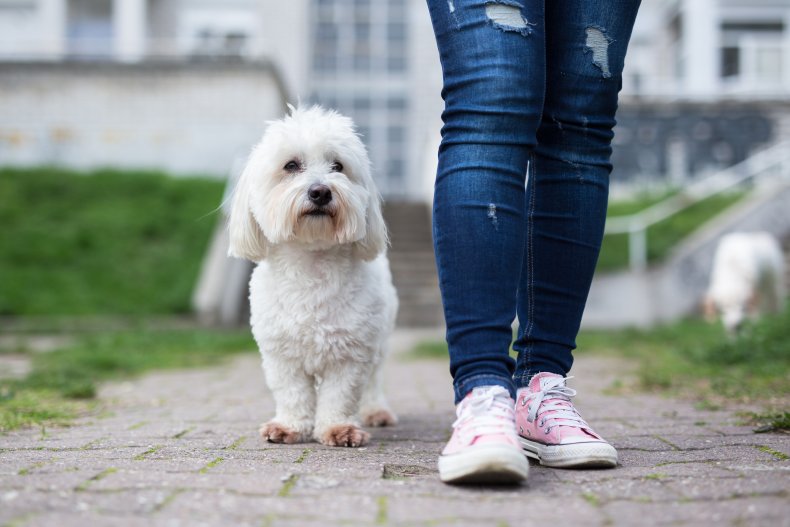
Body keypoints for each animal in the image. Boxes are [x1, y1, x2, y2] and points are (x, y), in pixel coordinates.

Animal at [226, 105, 400, 448]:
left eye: (338, 166)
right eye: (291, 165)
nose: (320, 191)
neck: (312, 262)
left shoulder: (351, 353)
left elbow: (340, 396)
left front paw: (338, 428)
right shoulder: (281, 355)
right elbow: (292, 393)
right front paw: (289, 426)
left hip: (380, 339)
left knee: (374, 379)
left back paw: (376, 411)